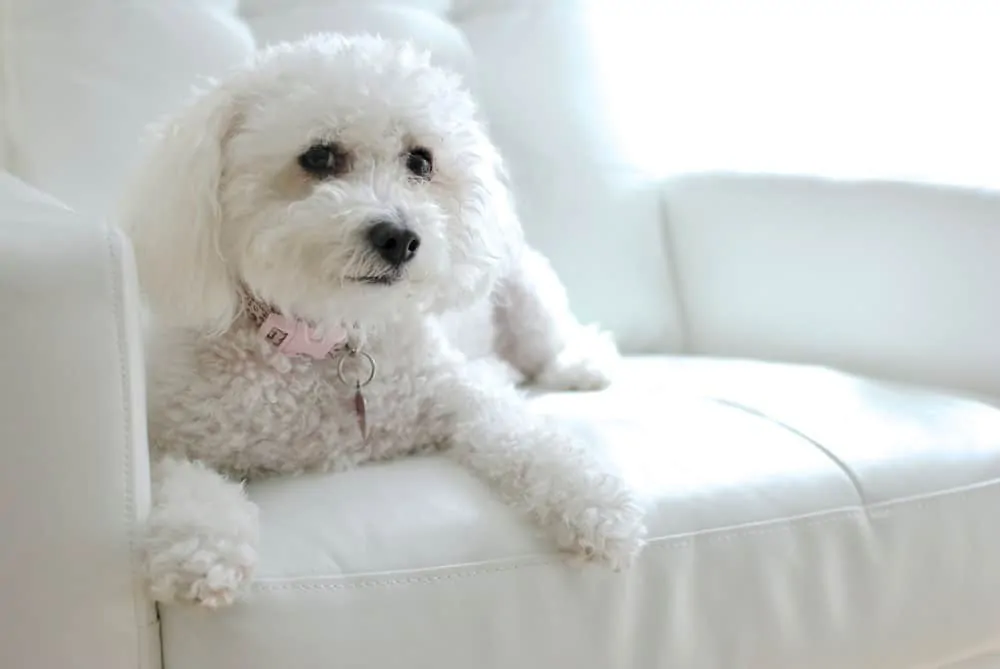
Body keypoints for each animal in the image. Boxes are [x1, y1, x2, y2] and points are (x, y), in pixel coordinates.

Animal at [119, 34, 648, 608]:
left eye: (420, 160)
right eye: (319, 156)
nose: (400, 237)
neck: (328, 337)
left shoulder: (460, 397)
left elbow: (527, 439)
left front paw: (597, 504)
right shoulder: (170, 432)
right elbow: (180, 478)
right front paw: (203, 547)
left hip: (526, 294)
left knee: (555, 344)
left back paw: (580, 366)